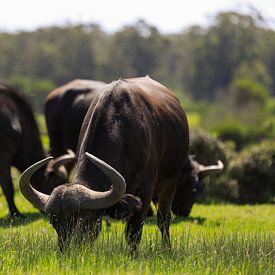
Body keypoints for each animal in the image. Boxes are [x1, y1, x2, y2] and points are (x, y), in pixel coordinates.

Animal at [20, 76, 190, 251]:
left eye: (83, 220)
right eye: (54, 222)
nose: (68, 250)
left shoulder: (145, 190)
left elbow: (133, 233)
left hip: (171, 181)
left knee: (163, 218)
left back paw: (167, 248)